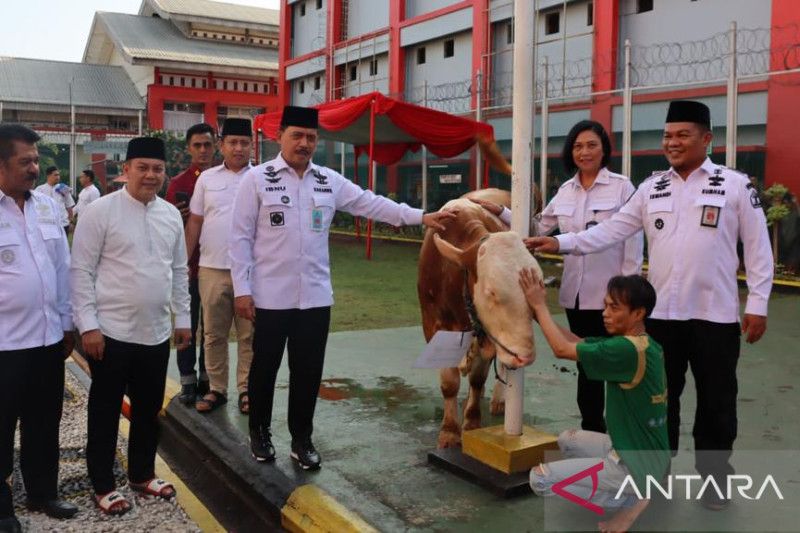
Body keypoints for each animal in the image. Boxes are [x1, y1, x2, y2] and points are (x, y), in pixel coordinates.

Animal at [418, 189, 544, 446]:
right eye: (491, 292)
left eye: (538, 286)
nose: (525, 355)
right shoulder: (432, 325)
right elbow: (449, 382)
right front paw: (449, 431)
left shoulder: (490, 334)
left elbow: (477, 378)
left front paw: (472, 423)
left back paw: (498, 399)